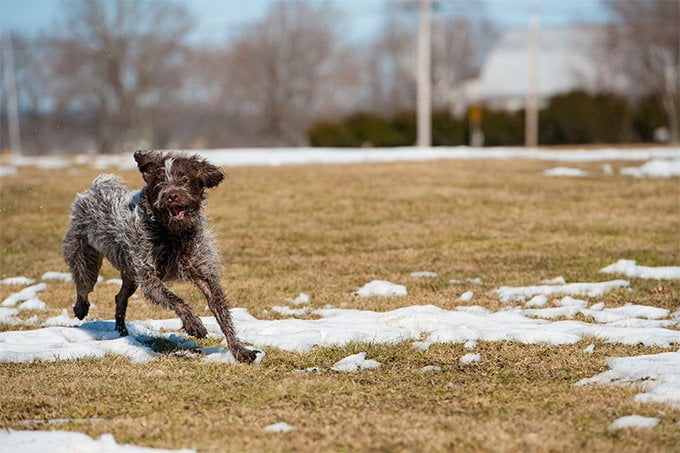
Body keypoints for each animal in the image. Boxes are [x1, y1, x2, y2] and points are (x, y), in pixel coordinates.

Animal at [62, 150, 258, 362]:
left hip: (131, 274)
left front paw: (240, 350)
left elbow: (222, 315)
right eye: (160, 181)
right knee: (83, 287)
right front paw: (193, 324)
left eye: (184, 179)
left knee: (120, 297)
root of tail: (95, 187)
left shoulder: (204, 275)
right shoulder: (150, 278)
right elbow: (176, 299)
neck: (173, 233)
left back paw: (122, 331)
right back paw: (81, 309)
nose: (172, 196)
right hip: (85, 258)